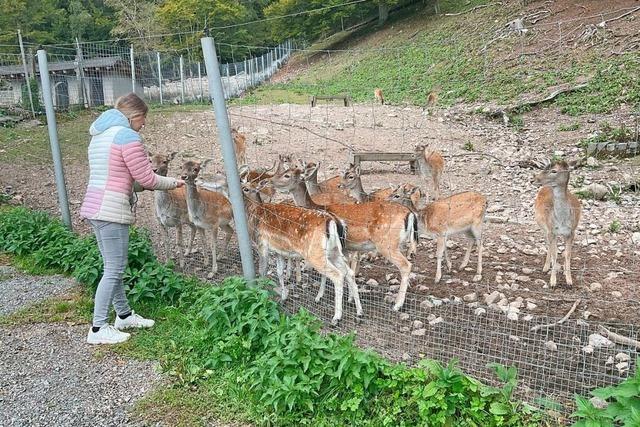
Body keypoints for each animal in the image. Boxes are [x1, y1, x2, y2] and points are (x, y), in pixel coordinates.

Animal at [241, 181, 362, 324]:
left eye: (245, 188)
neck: (254, 212)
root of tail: (334, 222)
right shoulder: (279, 251)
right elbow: (279, 272)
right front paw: (283, 297)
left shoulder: (262, 244)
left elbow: (262, 271)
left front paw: (260, 294)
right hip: (334, 252)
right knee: (349, 273)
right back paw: (359, 312)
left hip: (315, 254)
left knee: (338, 275)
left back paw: (336, 317)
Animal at [532, 160, 584, 288]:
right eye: (545, 168)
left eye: (554, 171)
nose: (534, 179)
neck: (561, 220)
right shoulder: (551, 231)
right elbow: (555, 254)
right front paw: (552, 282)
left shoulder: (571, 232)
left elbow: (567, 254)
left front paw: (569, 280)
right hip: (542, 227)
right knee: (548, 245)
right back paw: (546, 267)